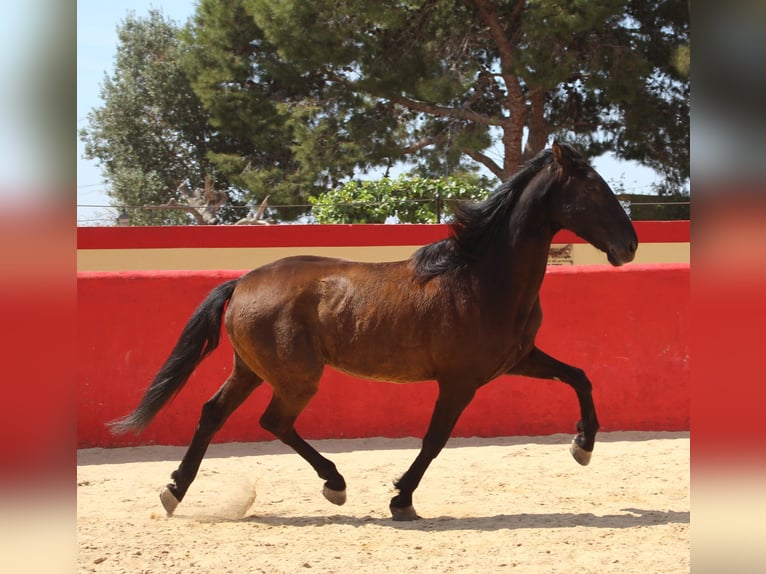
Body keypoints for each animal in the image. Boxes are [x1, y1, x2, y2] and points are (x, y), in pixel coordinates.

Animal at [111, 143, 640, 520]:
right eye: (594, 189)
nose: (630, 245)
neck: (480, 277)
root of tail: (242, 282)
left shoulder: (517, 360)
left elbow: (580, 377)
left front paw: (583, 447)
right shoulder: (460, 381)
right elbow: (434, 440)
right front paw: (401, 499)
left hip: (252, 370)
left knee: (213, 414)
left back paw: (174, 491)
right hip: (295, 378)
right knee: (272, 421)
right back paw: (335, 484)